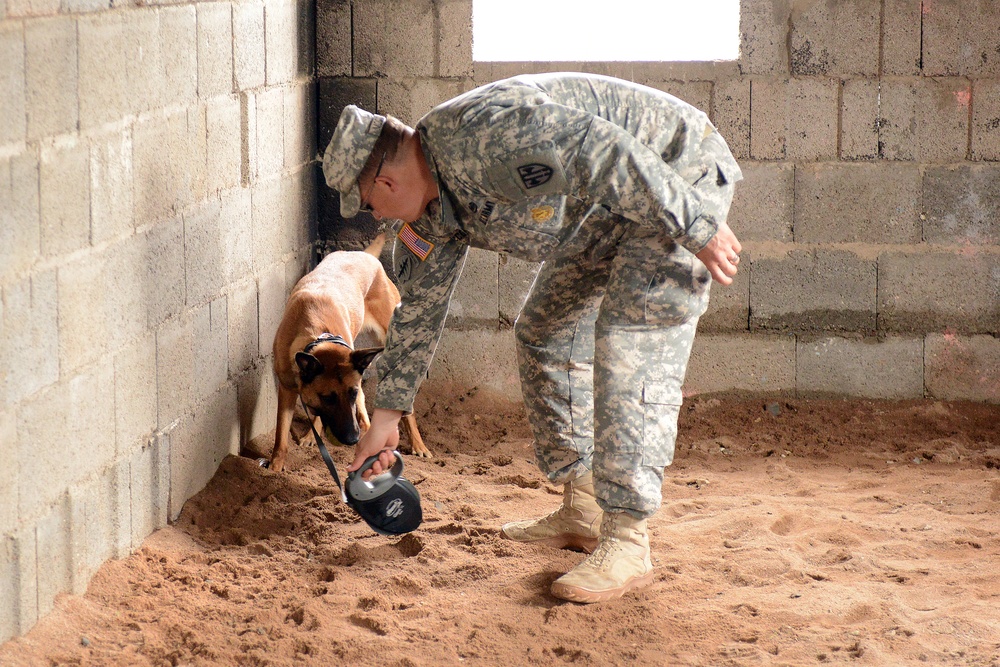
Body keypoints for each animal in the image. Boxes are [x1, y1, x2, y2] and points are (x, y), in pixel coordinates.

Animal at [264, 236, 428, 474]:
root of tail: (365, 255)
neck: (318, 332)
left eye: (352, 392)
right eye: (327, 397)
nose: (352, 438)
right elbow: (281, 435)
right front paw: (275, 468)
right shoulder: (287, 389)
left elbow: (361, 412)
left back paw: (415, 444)